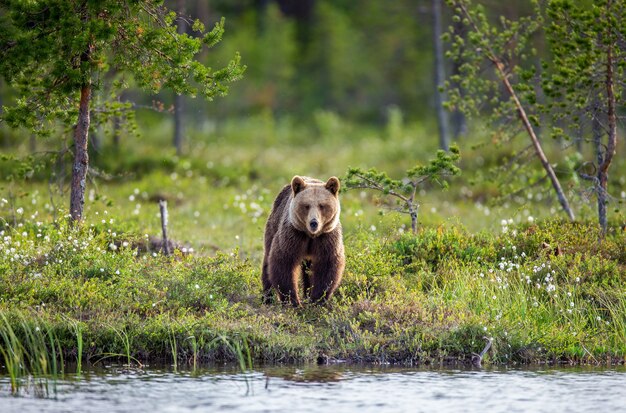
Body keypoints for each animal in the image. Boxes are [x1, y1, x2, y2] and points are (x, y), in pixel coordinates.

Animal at [260, 175, 344, 306]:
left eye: (322, 205)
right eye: (306, 205)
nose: (314, 222)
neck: (311, 236)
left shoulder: (327, 238)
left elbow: (327, 266)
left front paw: (317, 299)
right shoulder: (293, 236)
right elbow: (284, 262)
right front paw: (293, 301)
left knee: (307, 271)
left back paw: (307, 294)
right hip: (273, 225)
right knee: (267, 262)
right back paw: (267, 297)